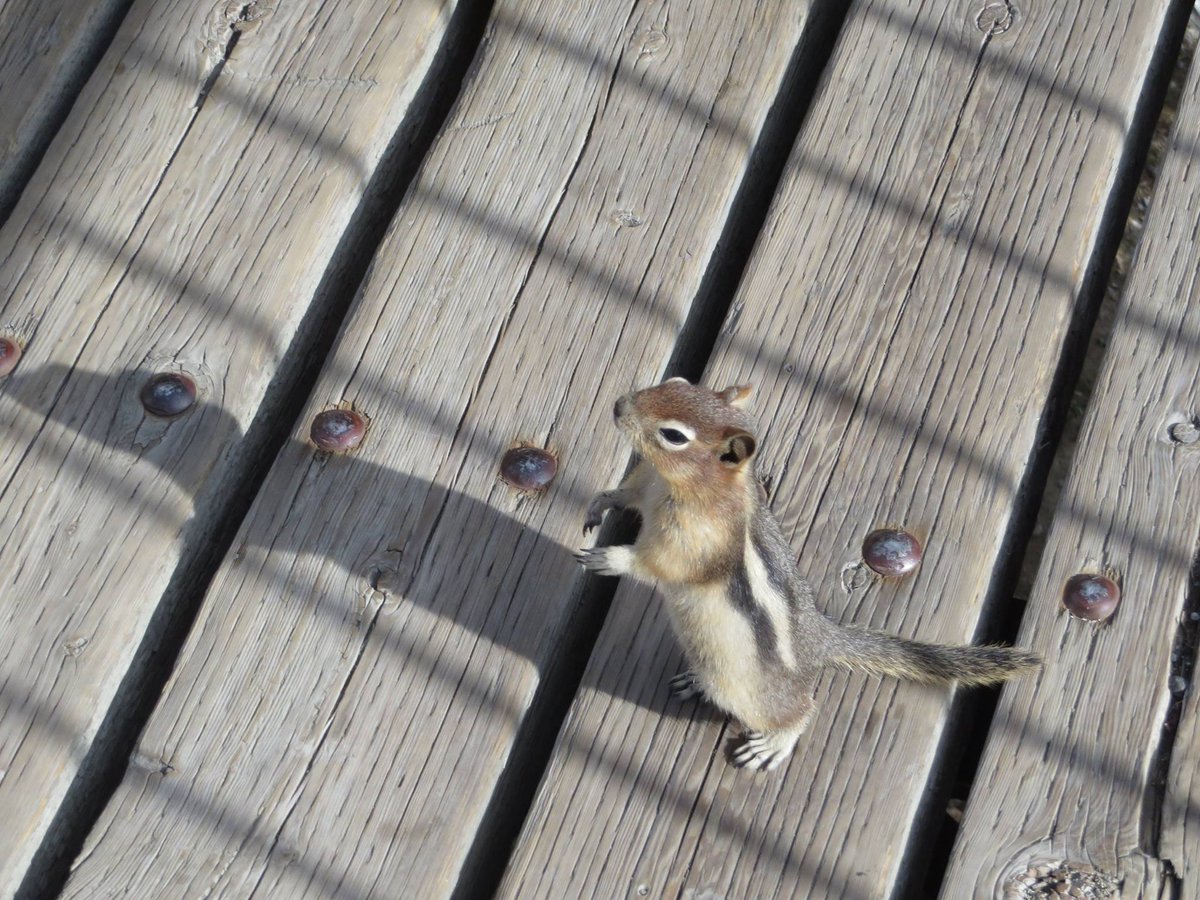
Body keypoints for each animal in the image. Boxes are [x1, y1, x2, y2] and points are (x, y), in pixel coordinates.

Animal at [575, 377, 1039, 771]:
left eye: (673, 436)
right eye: (675, 383)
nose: (618, 406)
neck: (679, 487)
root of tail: (821, 639)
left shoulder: (698, 543)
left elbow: (664, 564)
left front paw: (613, 559)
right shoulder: (646, 484)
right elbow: (625, 493)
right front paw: (601, 502)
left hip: (756, 695)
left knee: (800, 712)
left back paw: (774, 743)